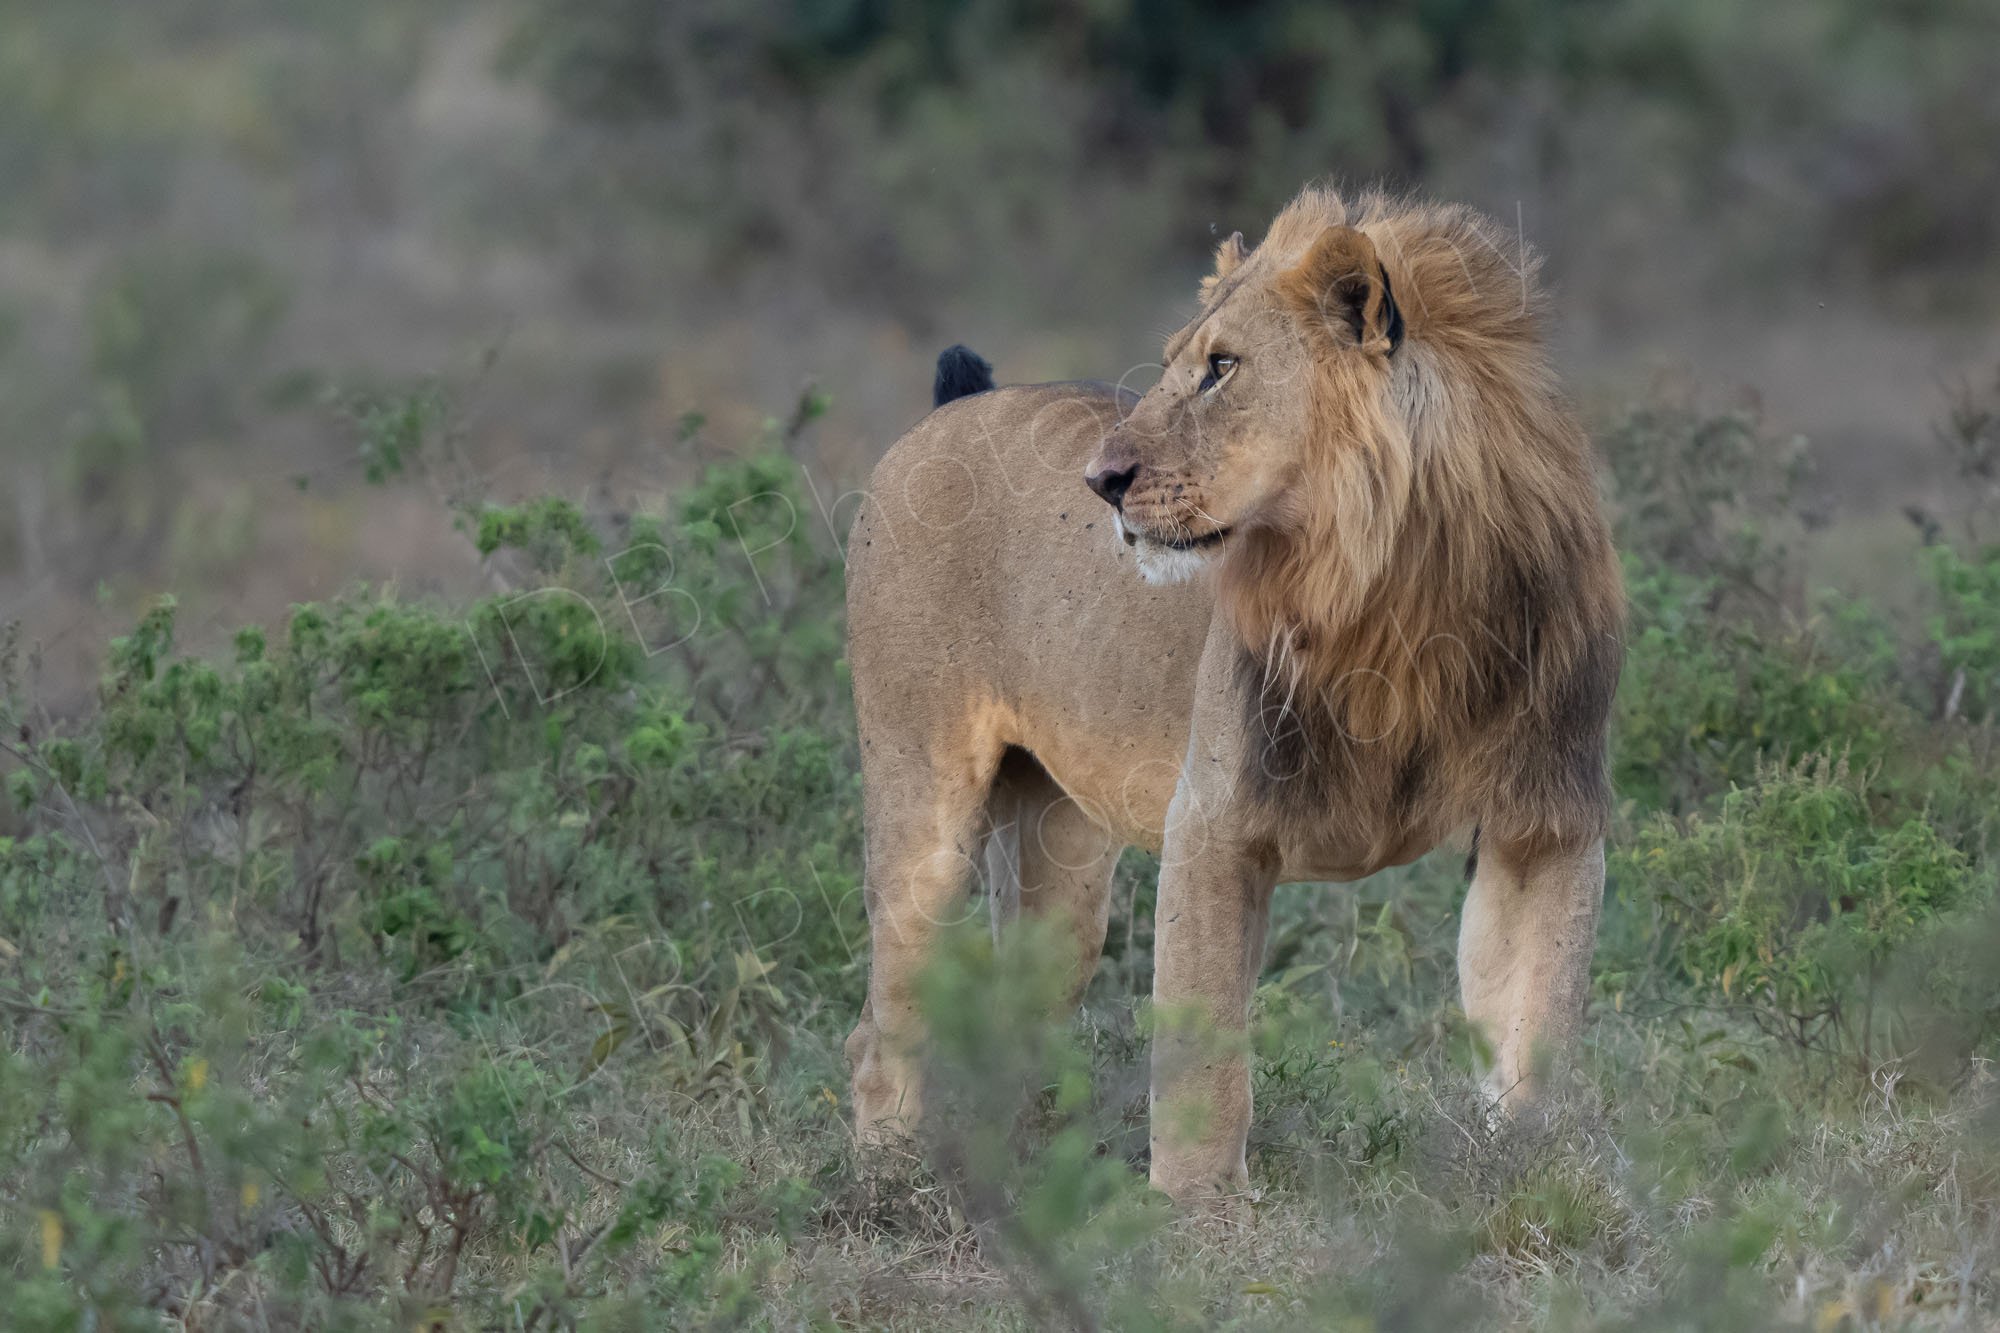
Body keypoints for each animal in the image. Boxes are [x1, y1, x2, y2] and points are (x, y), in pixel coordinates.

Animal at [841, 185, 1623, 1204]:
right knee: (882, 1019)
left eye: (1221, 368)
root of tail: (960, 405)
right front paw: (1198, 1211)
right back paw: (889, 1182)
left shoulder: (1547, 818)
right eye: (1179, 362)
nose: (1100, 481)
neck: (1396, 591)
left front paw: (1533, 1182)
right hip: (923, 805)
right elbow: (1204, 1045)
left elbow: (1536, 1029)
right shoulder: (1216, 815)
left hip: (1061, 851)